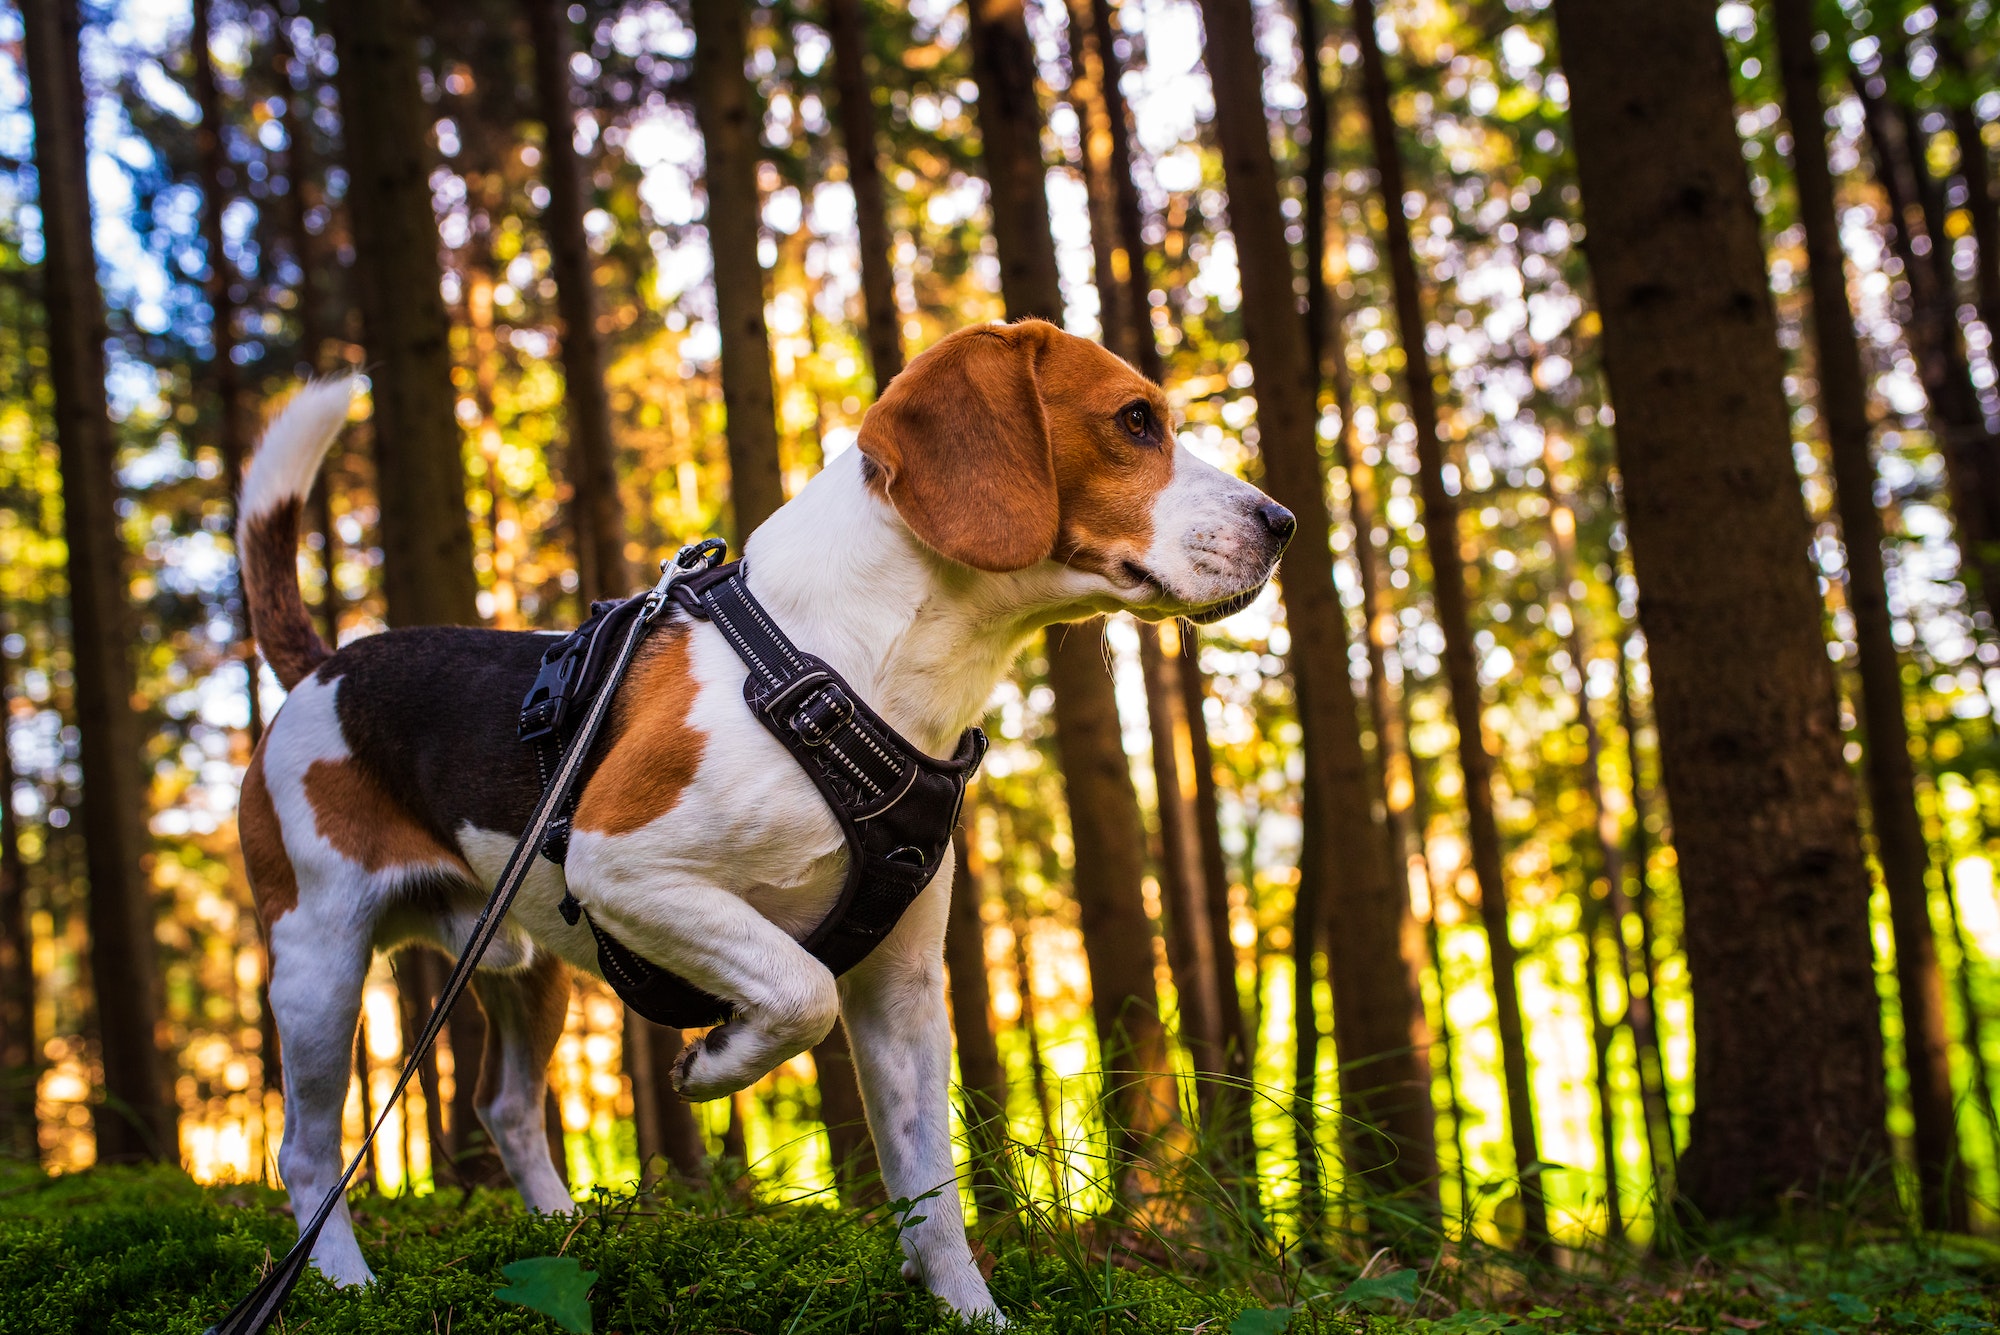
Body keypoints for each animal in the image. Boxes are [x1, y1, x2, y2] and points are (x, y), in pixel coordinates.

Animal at [238, 319, 1296, 1311]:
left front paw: (967, 1310)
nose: (1283, 520)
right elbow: (799, 988)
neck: (852, 668)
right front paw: (715, 1066)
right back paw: (341, 1281)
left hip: (520, 964)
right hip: (319, 961)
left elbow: (933, 1189)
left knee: (505, 1107)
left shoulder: (904, 987)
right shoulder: (622, 865)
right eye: (1135, 420)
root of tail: (323, 669)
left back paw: (564, 1234)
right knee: (306, 1148)